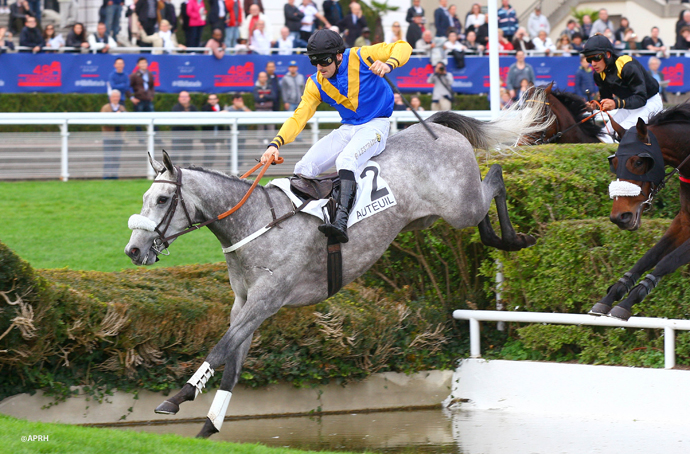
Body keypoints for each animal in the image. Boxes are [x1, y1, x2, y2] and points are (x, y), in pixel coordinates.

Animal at [123, 97, 552, 438]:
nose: (133, 249)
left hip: (461, 205)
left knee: (495, 178)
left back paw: (514, 239)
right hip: (435, 216)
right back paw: (503, 238)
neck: (255, 222)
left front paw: (177, 398)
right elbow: (233, 362)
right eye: (144, 196)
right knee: (489, 188)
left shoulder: (267, 301)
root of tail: (436, 128)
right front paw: (209, 426)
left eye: (162, 199)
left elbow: (220, 347)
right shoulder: (244, 304)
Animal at [588, 104, 690, 320]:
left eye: (638, 162)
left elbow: (668, 260)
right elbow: (648, 257)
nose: (620, 217)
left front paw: (630, 300)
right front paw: (611, 296)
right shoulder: (685, 221)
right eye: (614, 163)